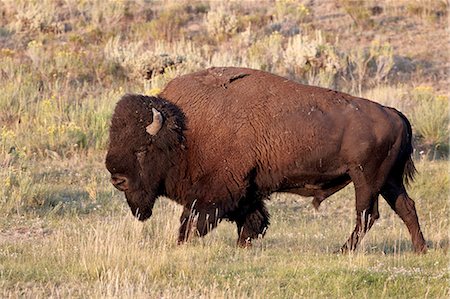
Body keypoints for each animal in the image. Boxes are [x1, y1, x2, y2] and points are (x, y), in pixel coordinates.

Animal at [104, 66, 426, 253]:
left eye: (142, 148)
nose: (117, 178)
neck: (185, 129)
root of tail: (394, 113)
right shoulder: (247, 188)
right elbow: (252, 218)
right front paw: (244, 245)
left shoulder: (217, 191)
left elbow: (194, 221)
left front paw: (184, 244)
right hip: (388, 180)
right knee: (405, 207)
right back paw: (420, 249)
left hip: (366, 179)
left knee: (367, 215)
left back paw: (343, 250)